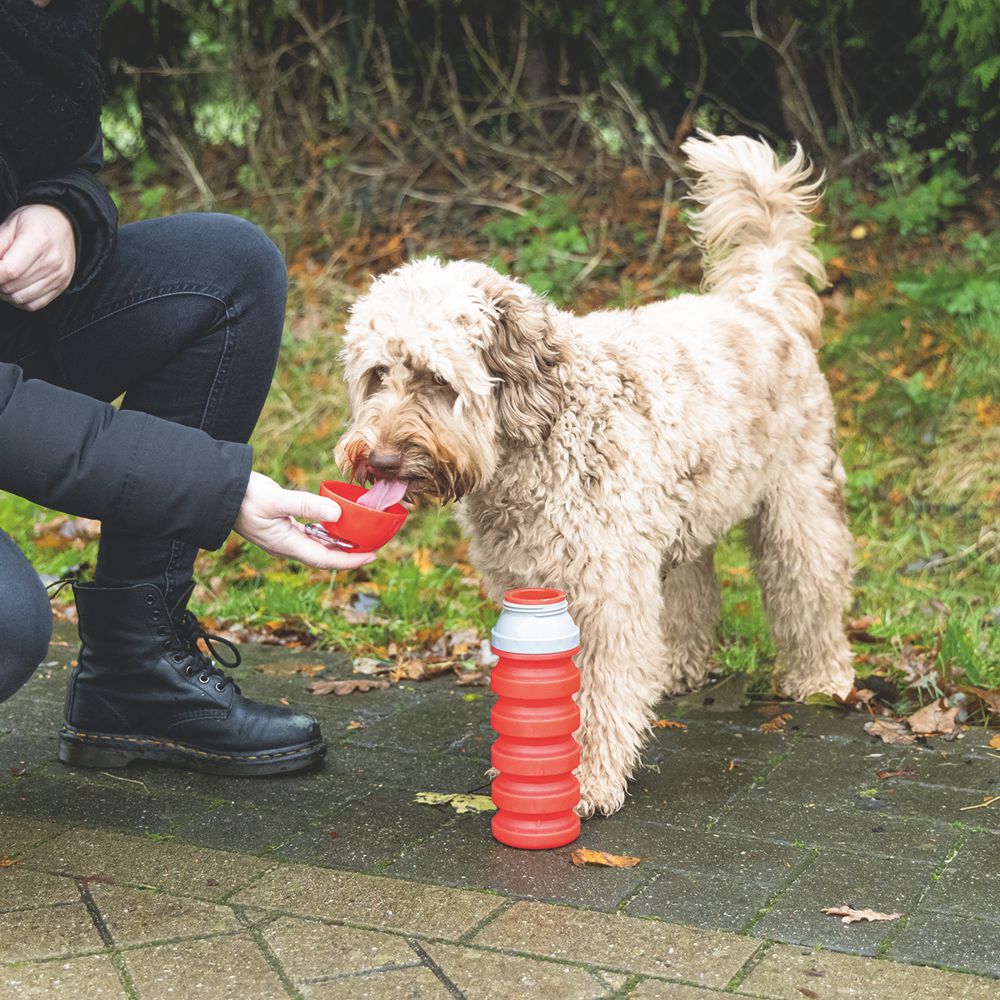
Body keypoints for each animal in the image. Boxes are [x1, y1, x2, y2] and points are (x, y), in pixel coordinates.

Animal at [336, 133, 852, 816]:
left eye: (437, 380)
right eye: (377, 376)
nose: (382, 460)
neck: (544, 430)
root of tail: (760, 305)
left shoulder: (603, 591)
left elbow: (599, 694)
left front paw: (588, 780)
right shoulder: (532, 580)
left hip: (798, 502)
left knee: (809, 583)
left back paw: (822, 676)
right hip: (683, 521)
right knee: (693, 594)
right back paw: (676, 666)